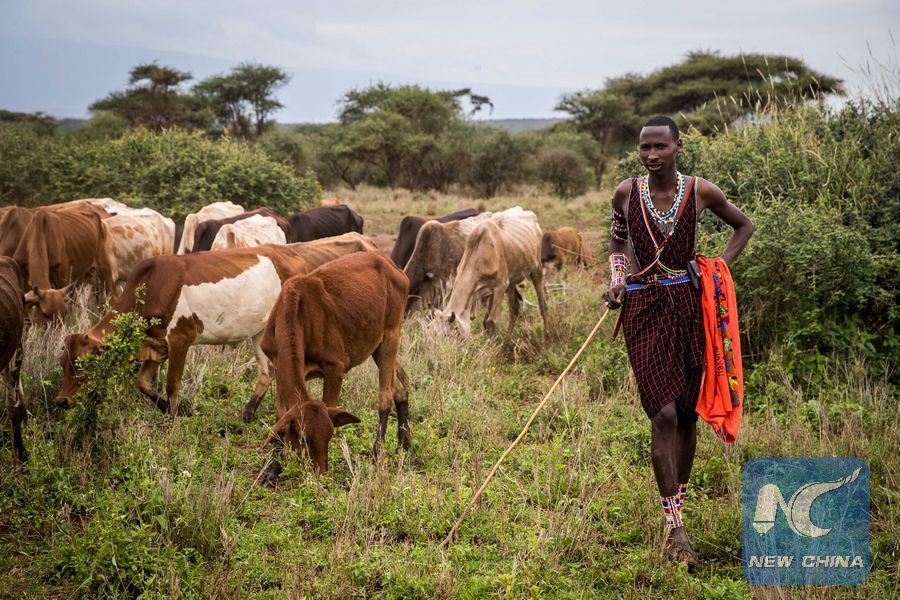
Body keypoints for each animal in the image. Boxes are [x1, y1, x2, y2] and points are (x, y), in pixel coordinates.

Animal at [56, 245, 309, 418]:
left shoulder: (180, 338)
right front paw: (173, 410)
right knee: (267, 371)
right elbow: (143, 383)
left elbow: (171, 384)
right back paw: (248, 412)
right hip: (259, 332)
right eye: (62, 363)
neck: (151, 286)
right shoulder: (156, 345)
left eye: (81, 364)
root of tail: (292, 254)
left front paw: (175, 417)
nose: (61, 401)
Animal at [259, 251, 410, 479]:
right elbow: (280, 414)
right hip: (377, 345)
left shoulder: (334, 369)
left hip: (391, 335)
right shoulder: (278, 368)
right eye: (302, 437)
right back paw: (405, 446)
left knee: (386, 395)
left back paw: (378, 453)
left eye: (330, 434)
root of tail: (391, 265)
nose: (321, 472)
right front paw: (272, 469)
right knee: (400, 386)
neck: (296, 314)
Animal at [436, 207, 549, 337]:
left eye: (450, 334)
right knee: (514, 307)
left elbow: (491, 322)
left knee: (543, 304)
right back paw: (508, 336)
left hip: (536, 269)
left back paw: (547, 334)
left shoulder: (500, 286)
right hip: (511, 281)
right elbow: (485, 321)